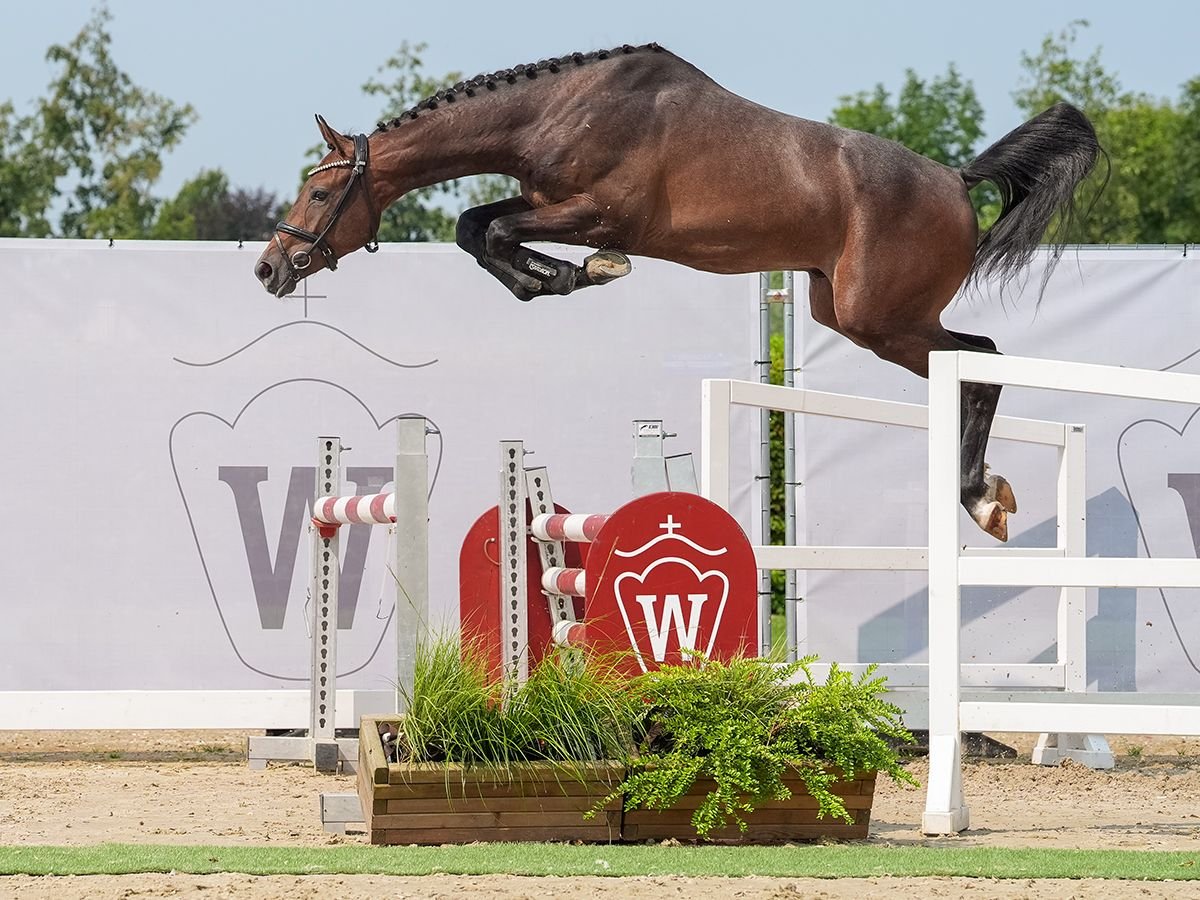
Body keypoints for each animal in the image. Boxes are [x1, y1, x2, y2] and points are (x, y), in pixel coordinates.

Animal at [258, 42, 1099, 542]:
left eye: (317, 191)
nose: (269, 268)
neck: (556, 111)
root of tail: (956, 180)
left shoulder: (599, 212)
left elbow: (491, 234)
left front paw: (579, 273)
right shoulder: (545, 201)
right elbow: (476, 228)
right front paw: (557, 278)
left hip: (882, 318)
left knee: (983, 360)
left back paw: (979, 496)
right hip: (849, 315)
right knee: (974, 362)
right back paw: (982, 491)